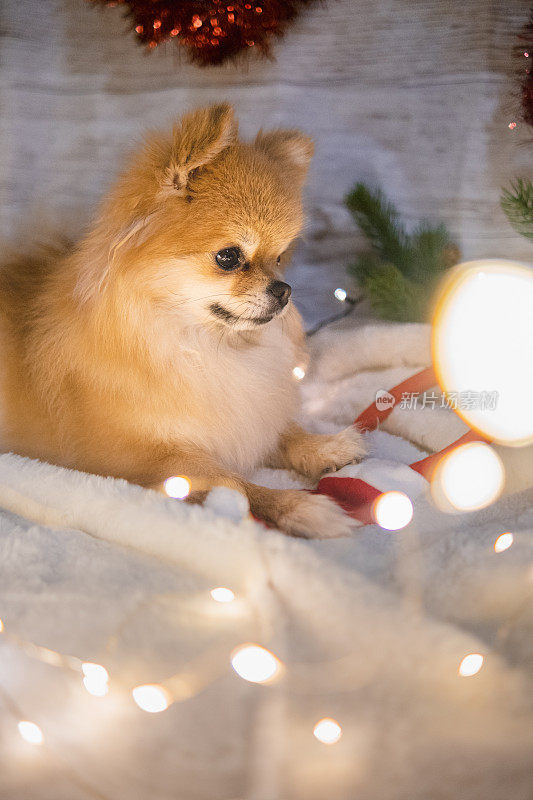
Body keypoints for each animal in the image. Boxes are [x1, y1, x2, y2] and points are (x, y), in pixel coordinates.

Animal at [0, 101, 364, 536]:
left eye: (279, 259)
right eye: (228, 257)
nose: (284, 290)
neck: (195, 342)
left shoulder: (241, 414)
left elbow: (282, 434)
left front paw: (326, 446)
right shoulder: (149, 461)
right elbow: (236, 487)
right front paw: (301, 506)